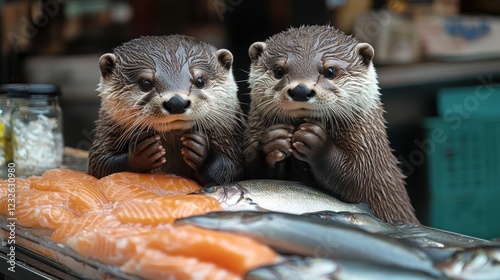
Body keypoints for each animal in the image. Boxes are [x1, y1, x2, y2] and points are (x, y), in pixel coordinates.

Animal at [88, 35, 244, 186]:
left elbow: (229, 168)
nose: (177, 103)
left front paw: (200, 150)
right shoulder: (106, 134)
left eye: (200, 81)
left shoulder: (229, 140)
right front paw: (141, 152)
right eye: (145, 84)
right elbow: (100, 164)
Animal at [244, 25, 420, 223]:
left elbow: (356, 177)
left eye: (330, 71)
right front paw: (274, 141)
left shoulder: (370, 159)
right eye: (279, 70)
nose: (300, 90)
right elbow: (256, 171)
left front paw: (315, 142)